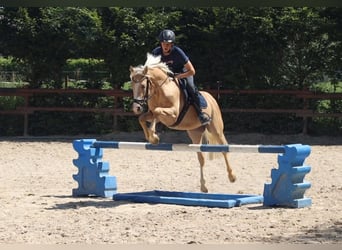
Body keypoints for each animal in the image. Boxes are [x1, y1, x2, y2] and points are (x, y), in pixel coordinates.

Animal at [128, 53, 235, 192]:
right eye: (132, 86)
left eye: (143, 86)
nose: (136, 108)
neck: (160, 90)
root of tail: (212, 98)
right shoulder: (153, 113)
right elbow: (143, 118)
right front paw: (153, 138)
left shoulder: (173, 114)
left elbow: (157, 112)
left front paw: (154, 136)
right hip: (195, 134)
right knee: (201, 158)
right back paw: (203, 187)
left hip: (216, 129)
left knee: (224, 149)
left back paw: (232, 177)